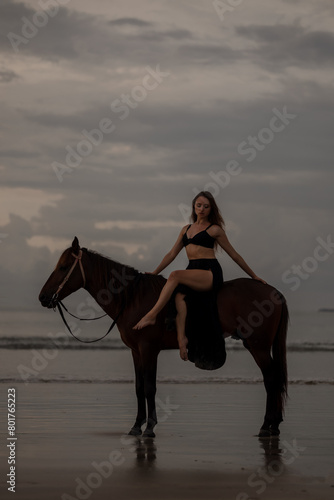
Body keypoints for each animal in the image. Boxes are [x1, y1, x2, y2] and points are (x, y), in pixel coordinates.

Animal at [39, 238, 288, 438]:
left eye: (63, 267)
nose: (43, 297)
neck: (132, 298)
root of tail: (274, 292)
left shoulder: (149, 349)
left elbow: (150, 387)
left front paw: (150, 427)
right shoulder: (136, 351)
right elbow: (139, 387)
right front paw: (136, 426)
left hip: (258, 347)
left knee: (271, 379)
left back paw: (267, 426)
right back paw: (274, 426)